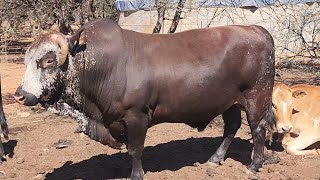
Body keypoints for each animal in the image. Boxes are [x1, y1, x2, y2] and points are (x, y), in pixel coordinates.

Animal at [14, 19, 276, 179]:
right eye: (26, 61)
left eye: (48, 60)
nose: (20, 95)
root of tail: (257, 29)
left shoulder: (136, 116)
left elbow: (135, 150)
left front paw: (136, 174)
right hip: (228, 101)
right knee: (231, 126)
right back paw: (215, 158)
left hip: (256, 96)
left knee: (258, 128)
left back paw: (254, 164)